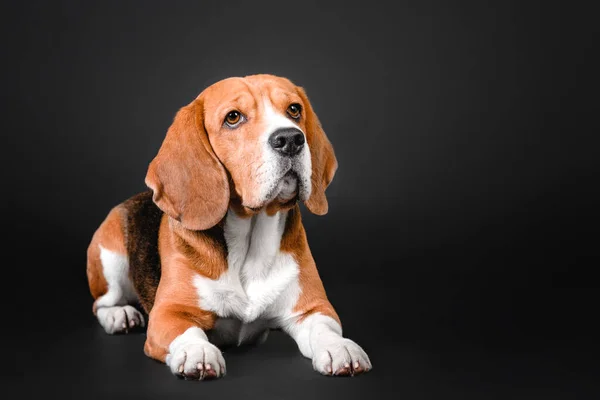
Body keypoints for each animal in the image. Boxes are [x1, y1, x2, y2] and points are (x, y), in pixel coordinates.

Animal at [86, 74, 372, 378]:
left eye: (294, 109)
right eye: (233, 117)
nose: (291, 139)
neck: (249, 242)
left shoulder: (314, 308)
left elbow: (325, 329)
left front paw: (340, 347)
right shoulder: (168, 313)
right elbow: (188, 332)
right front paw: (197, 352)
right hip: (110, 254)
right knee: (102, 302)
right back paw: (120, 315)